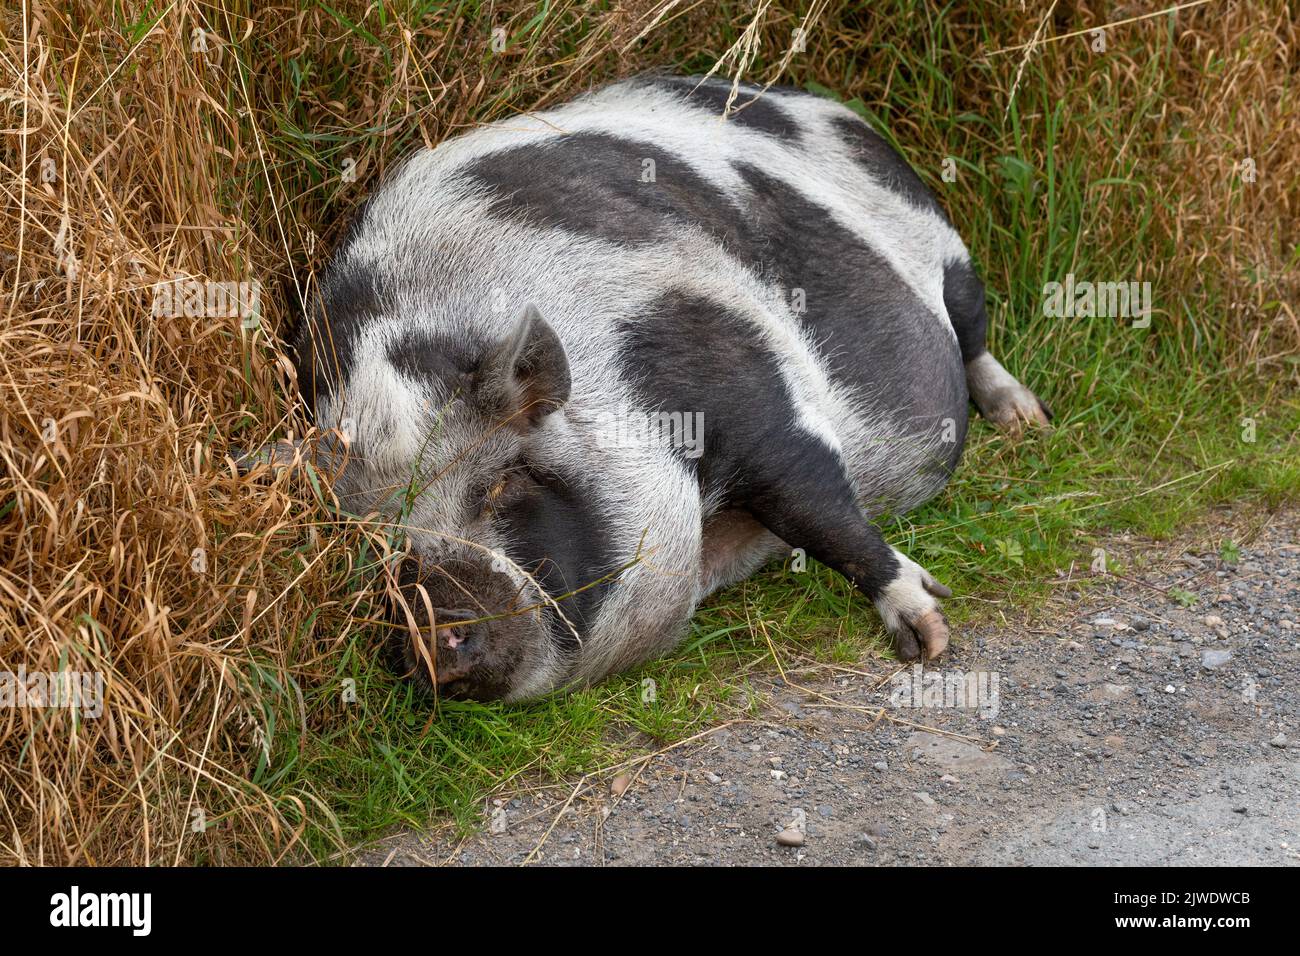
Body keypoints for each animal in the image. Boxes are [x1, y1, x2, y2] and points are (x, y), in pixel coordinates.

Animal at [269, 74, 1050, 702]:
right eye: (370, 546)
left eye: (503, 481)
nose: (435, 628)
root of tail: (814, 99)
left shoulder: (740, 379)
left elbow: (817, 508)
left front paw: (930, 638)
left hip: (944, 245)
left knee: (972, 332)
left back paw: (1027, 421)